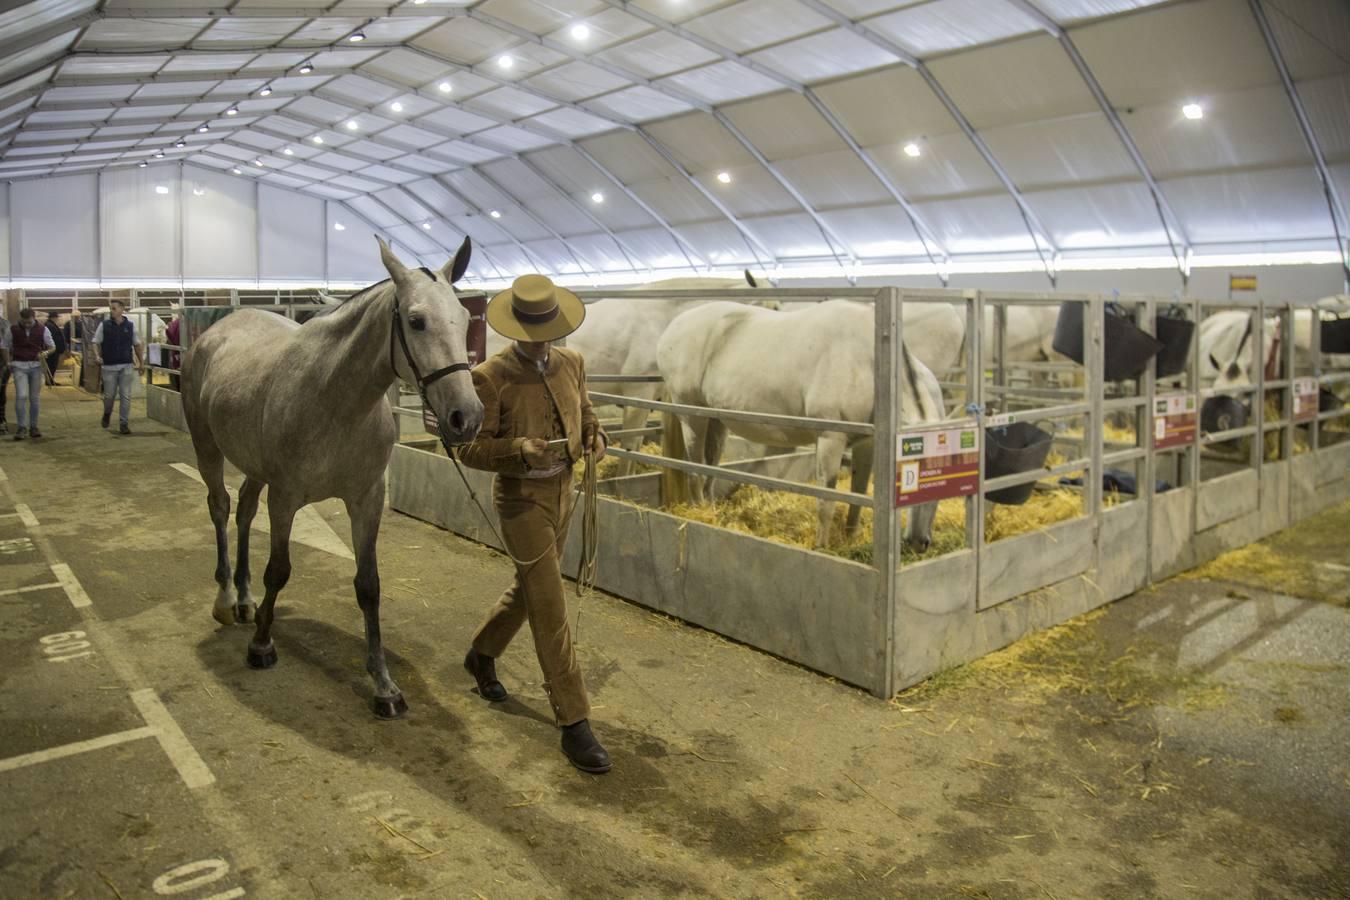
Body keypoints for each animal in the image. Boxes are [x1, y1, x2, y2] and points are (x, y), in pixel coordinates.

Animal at [182, 237, 483, 717]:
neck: (334, 399)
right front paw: (262, 645)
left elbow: (368, 586)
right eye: (416, 321)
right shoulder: (285, 498)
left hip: (254, 466)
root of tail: (215, 333)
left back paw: (246, 601)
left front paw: (384, 685)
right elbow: (279, 570)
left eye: (465, 319)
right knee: (220, 508)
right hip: (207, 446)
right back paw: (227, 600)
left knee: (244, 511)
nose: (466, 417)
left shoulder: (366, 499)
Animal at [658, 300, 945, 550]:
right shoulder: (830, 439)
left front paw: (850, 537)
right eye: (911, 473)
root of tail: (674, 326)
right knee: (694, 470)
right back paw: (699, 513)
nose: (918, 542)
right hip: (692, 418)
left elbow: (859, 492)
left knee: (710, 469)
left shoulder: (867, 443)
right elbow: (827, 498)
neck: (869, 363)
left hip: (716, 421)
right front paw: (822, 547)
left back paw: (711, 512)